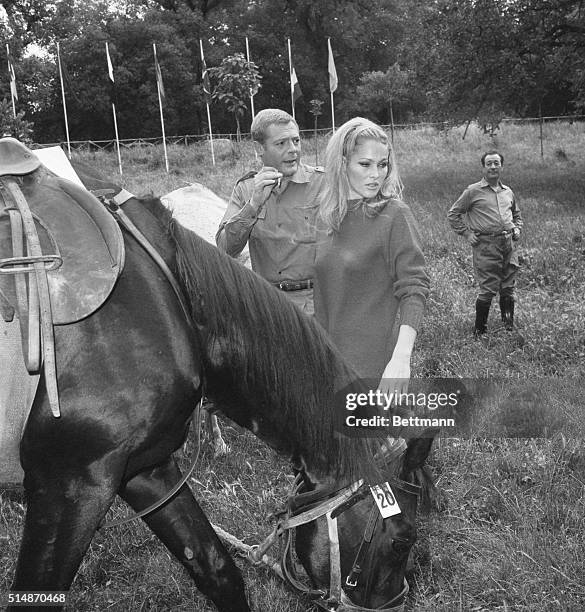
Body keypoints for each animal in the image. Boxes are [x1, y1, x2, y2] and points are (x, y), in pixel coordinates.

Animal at [6, 164, 436, 612]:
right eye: (403, 541)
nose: (398, 603)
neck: (172, 297)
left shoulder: (145, 469)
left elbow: (216, 567)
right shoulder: (70, 484)